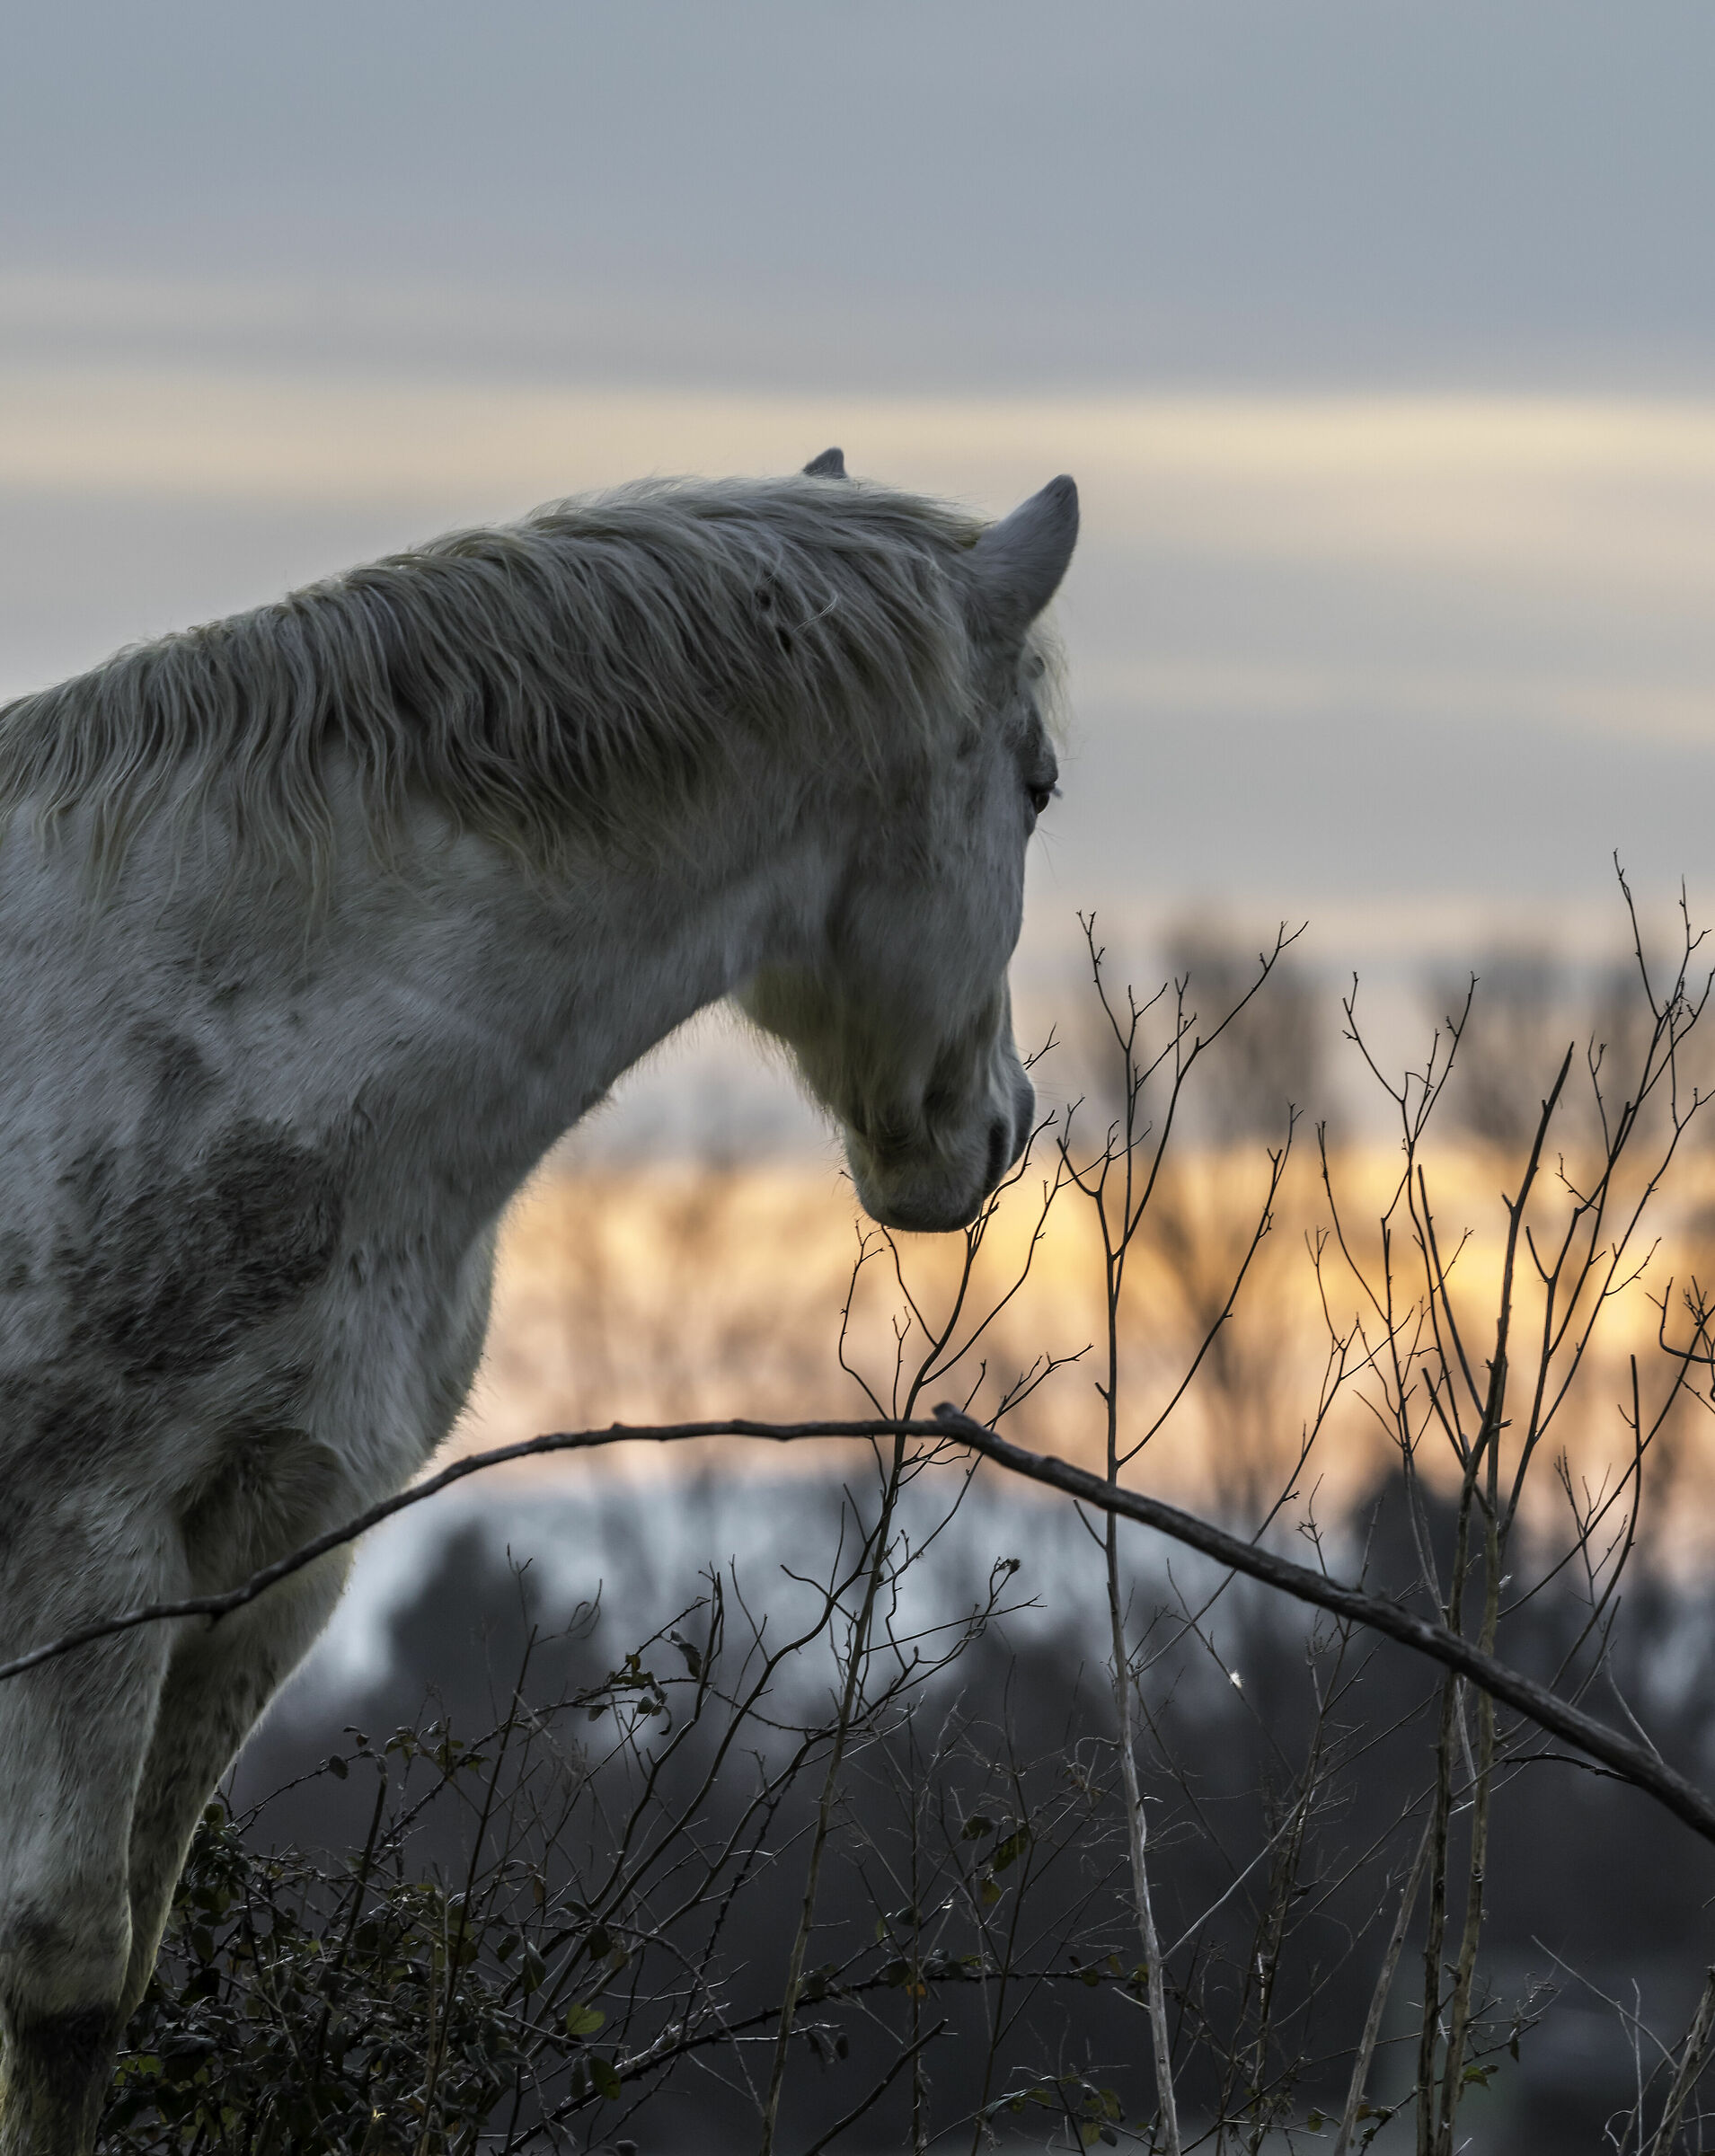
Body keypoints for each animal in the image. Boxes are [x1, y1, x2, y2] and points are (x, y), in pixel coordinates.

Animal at [0, 447, 1077, 2152]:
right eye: (1033, 787)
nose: (993, 1130)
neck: (224, 1023)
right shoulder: (88, 1558)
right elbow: (62, 1974)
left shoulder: (269, 1561)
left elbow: (126, 1957)